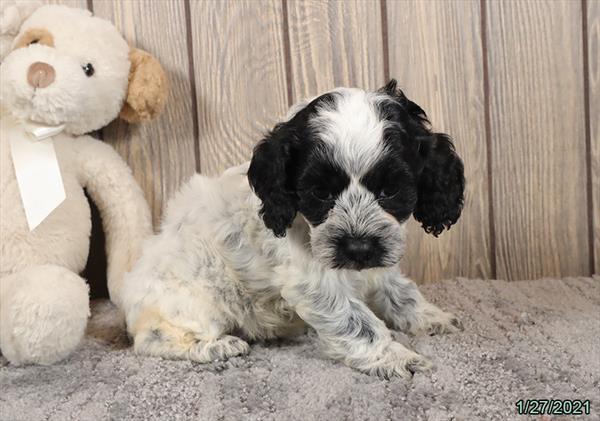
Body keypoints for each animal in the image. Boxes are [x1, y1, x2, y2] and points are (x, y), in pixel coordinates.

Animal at [122, 79, 466, 378]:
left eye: (390, 190)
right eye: (321, 193)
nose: (358, 248)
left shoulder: (380, 258)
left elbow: (398, 289)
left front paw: (430, 317)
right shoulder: (313, 284)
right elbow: (357, 322)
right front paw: (396, 357)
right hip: (190, 304)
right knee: (151, 339)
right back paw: (216, 347)